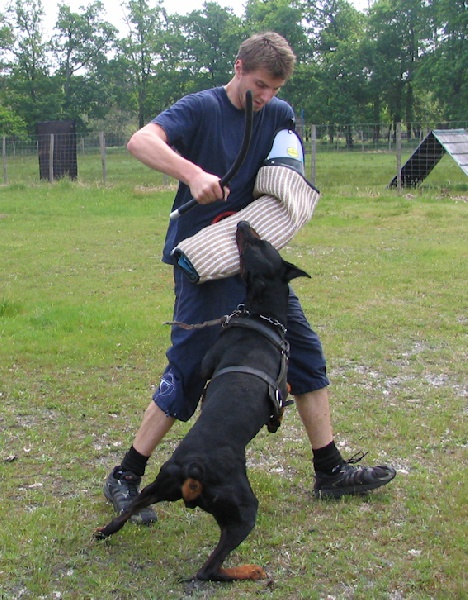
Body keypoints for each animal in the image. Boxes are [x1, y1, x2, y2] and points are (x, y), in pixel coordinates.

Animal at [93, 221, 308, 580]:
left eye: (257, 242)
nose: (242, 223)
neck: (262, 317)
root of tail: (195, 467)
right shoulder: (275, 380)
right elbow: (284, 394)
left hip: (158, 486)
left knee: (124, 517)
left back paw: (103, 530)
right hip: (243, 511)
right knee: (209, 569)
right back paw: (250, 571)